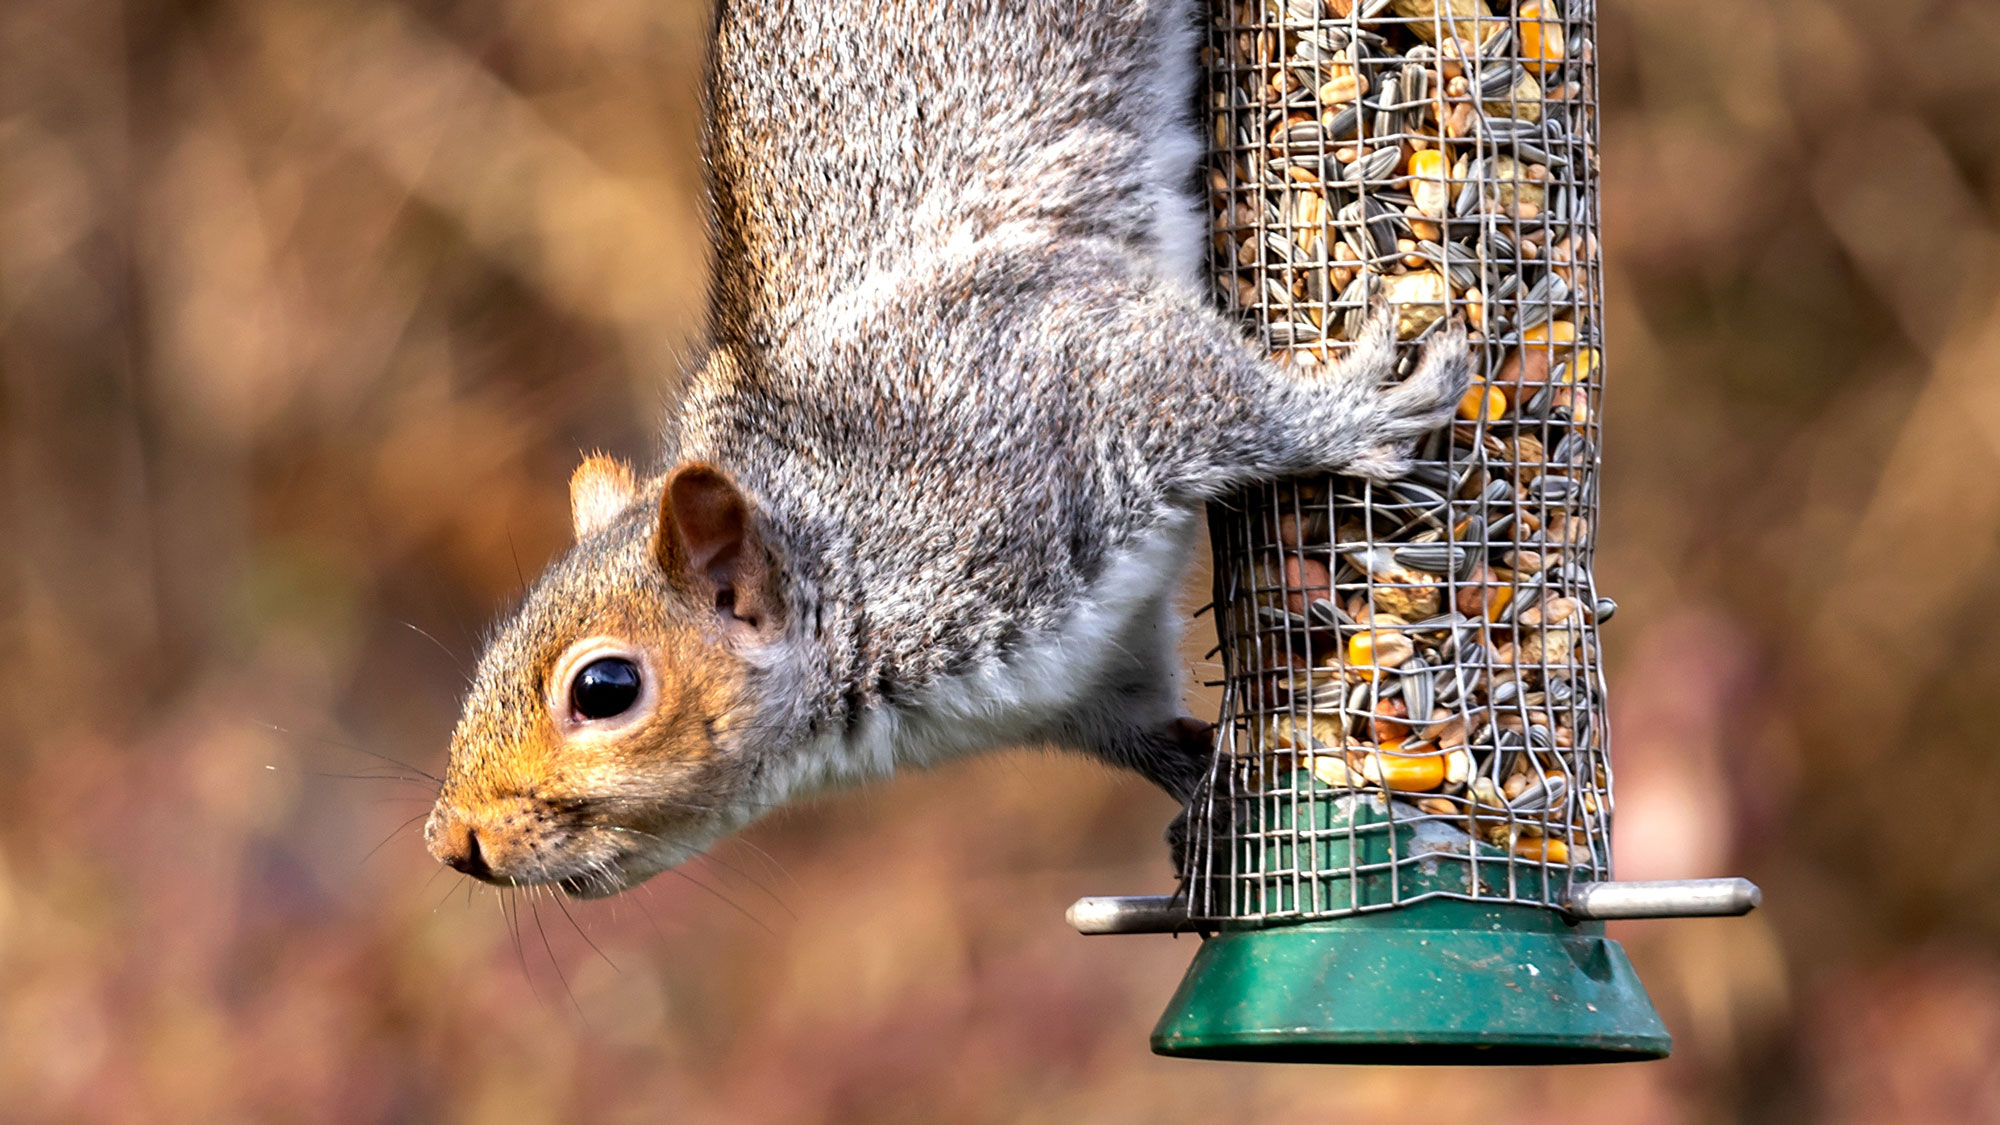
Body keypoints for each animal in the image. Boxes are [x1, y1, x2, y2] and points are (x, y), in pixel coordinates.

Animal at [424, 0, 1468, 897]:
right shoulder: (1090, 683)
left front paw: (1352, 410)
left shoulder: (1047, 381)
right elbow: (1158, 737)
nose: (450, 840)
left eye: (605, 688)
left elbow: (1221, 399)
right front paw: (1217, 803)